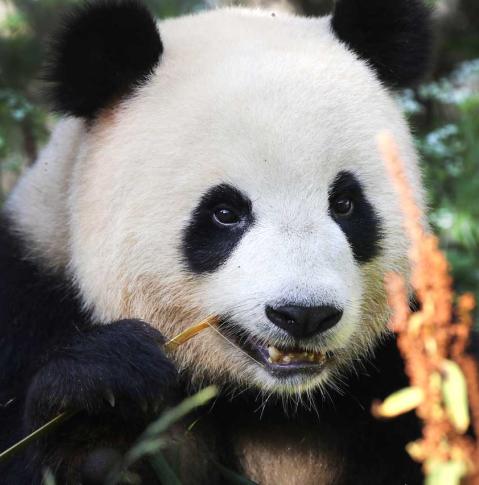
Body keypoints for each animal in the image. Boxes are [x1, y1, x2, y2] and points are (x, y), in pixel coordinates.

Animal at [0, 0, 436, 482]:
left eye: (344, 204)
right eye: (225, 213)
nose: (304, 314)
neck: (269, 401)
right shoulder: (30, 299)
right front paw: (99, 395)